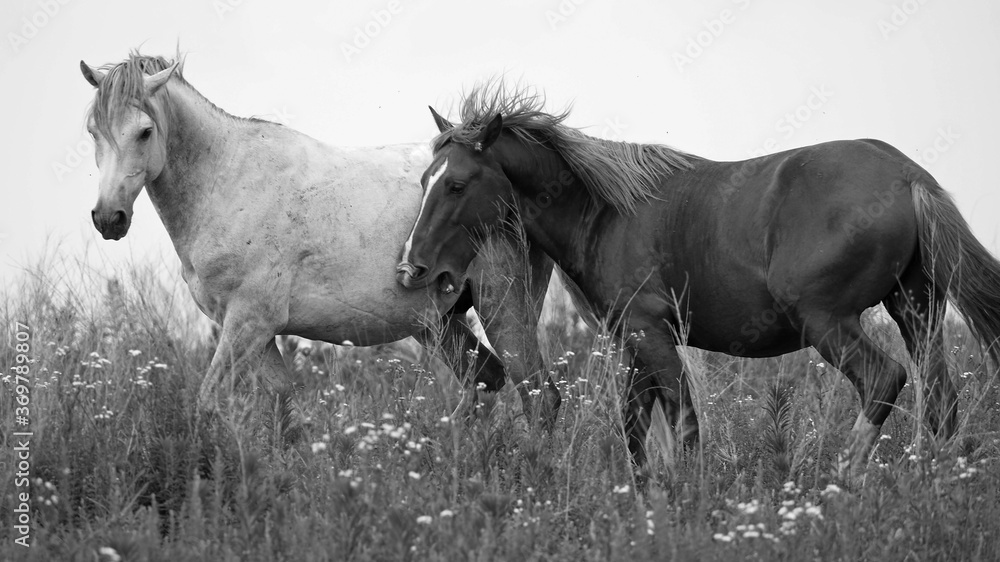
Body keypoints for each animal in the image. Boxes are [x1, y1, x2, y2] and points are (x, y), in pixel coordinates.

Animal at [78, 53, 560, 424]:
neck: (228, 183)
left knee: (540, 396)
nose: (108, 218)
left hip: (503, 308)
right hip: (438, 323)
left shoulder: (248, 322)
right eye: (92, 132)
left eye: (145, 131)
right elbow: (282, 408)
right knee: (488, 379)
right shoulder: (254, 331)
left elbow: (209, 402)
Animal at [396, 81, 1000, 474]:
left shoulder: (653, 334)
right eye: (425, 179)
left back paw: (843, 484)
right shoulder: (634, 342)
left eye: (457, 185)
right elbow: (635, 431)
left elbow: (684, 423)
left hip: (827, 321)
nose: (411, 268)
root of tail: (908, 175)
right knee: (941, 402)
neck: (605, 211)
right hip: (916, 310)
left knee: (883, 381)